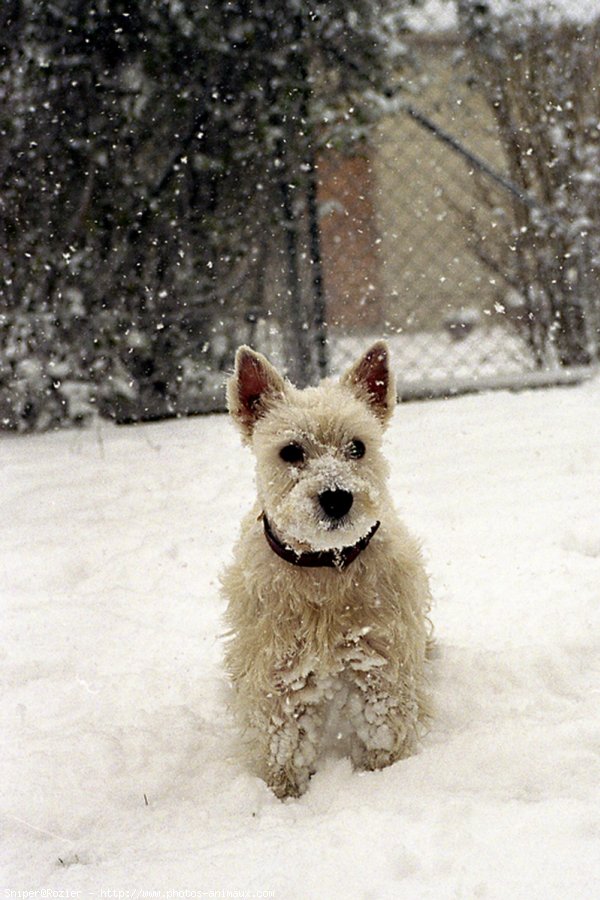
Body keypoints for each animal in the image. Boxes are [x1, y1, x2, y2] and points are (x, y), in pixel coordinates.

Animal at [221, 342, 432, 800]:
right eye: (291, 451)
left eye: (357, 447)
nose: (337, 498)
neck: (324, 565)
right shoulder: (278, 666)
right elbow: (283, 739)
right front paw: (284, 795)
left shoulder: (380, 655)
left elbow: (384, 723)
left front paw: (385, 775)